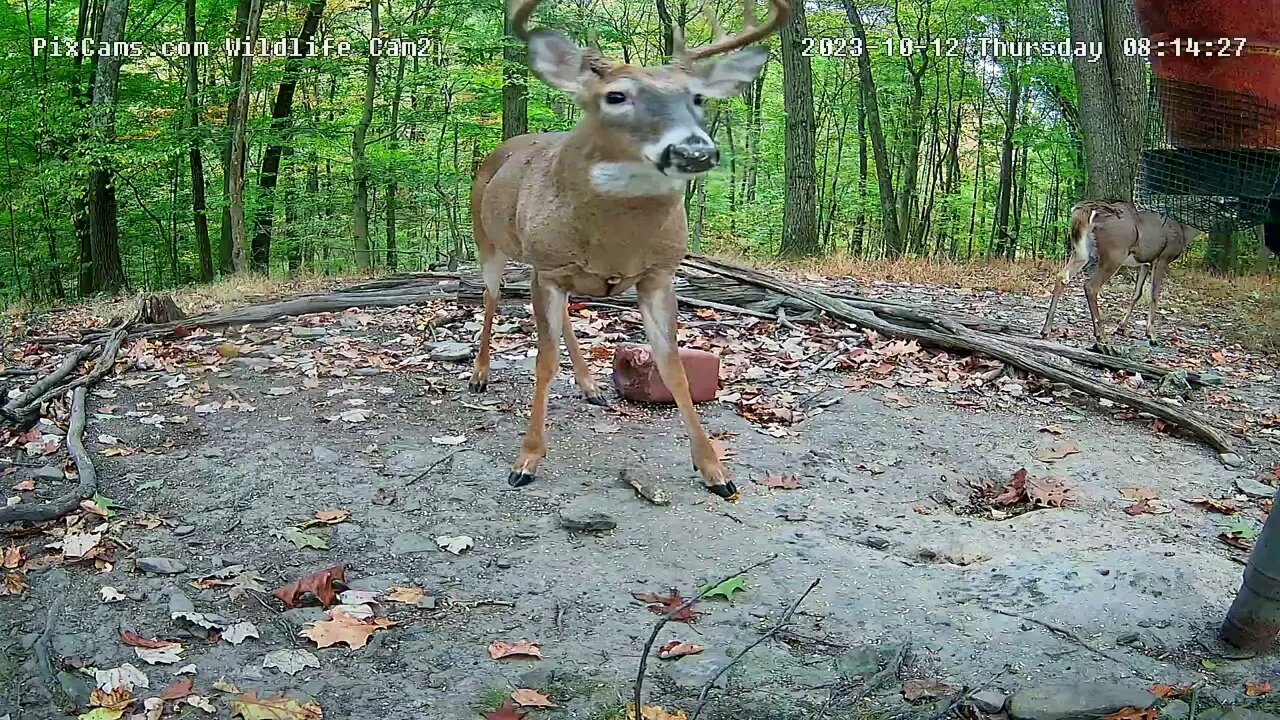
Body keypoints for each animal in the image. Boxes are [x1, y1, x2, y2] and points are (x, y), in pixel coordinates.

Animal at [1039, 198, 1198, 345]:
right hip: (1115, 254)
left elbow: (1137, 293)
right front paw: (1151, 334)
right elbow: (1154, 295)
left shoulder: (1145, 262)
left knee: (1062, 276)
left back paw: (1046, 330)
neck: (1184, 230)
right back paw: (1101, 335)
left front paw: (1121, 327)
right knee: (1090, 286)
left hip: (1081, 251)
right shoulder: (1163, 257)